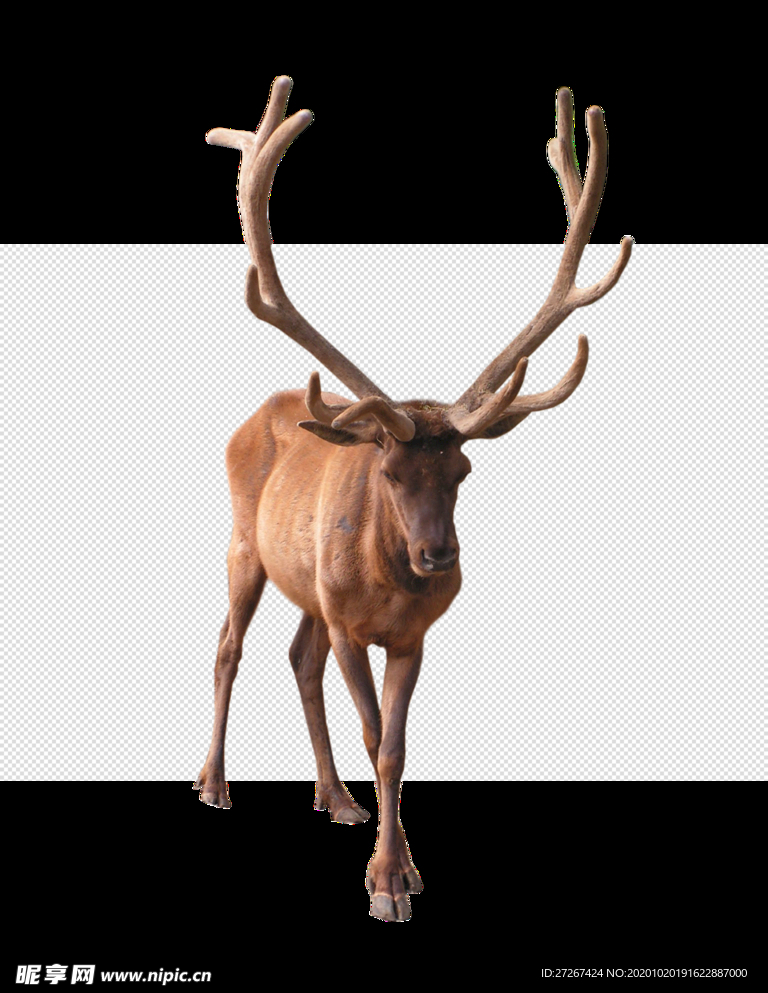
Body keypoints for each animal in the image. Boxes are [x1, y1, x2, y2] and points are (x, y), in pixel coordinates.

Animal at [195, 76, 632, 922]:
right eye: (391, 469)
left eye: (463, 470)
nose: (438, 554)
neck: (386, 585)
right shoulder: (350, 622)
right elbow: (373, 733)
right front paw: (385, 880)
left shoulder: (410, 634)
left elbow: (395, 746)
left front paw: (397, 868)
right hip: (242, 542)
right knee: (228, 645)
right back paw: (213, 781)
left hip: (308, 584)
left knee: (299, 656)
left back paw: (335, 797)